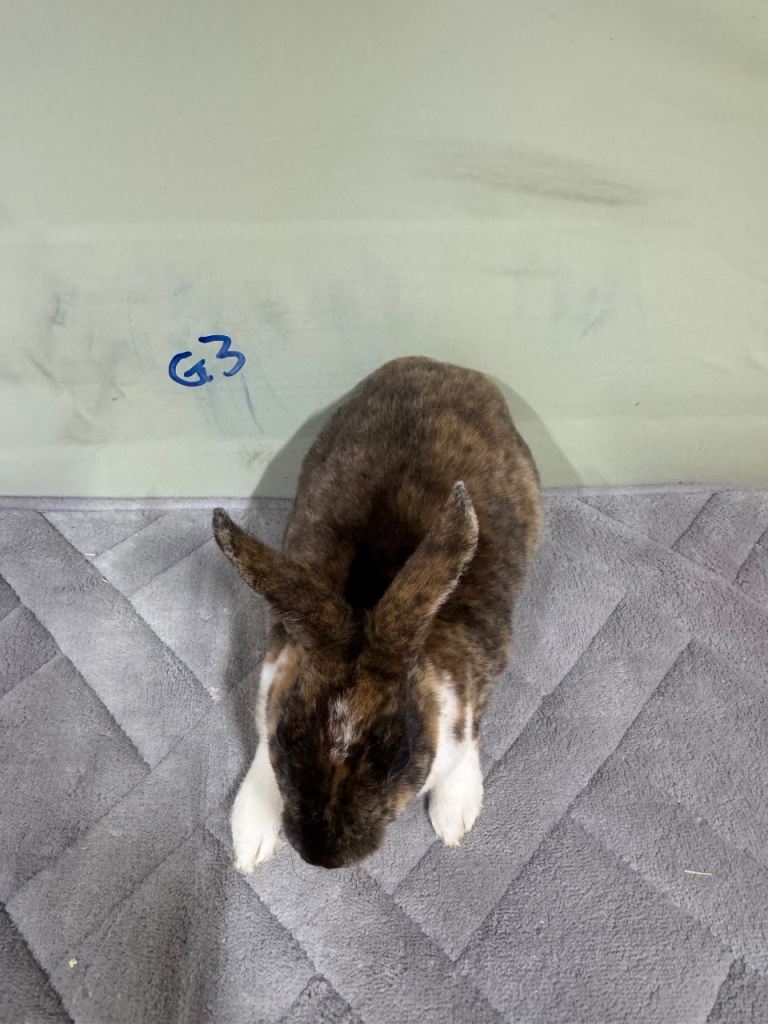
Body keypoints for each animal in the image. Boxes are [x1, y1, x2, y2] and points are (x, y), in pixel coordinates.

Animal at [213, 356, 541, 870]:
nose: (323, 858)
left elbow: (469, 738)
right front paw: (251, 840)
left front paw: (454, 817)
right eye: (285, 738)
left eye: (401, 757)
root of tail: (439, 365)